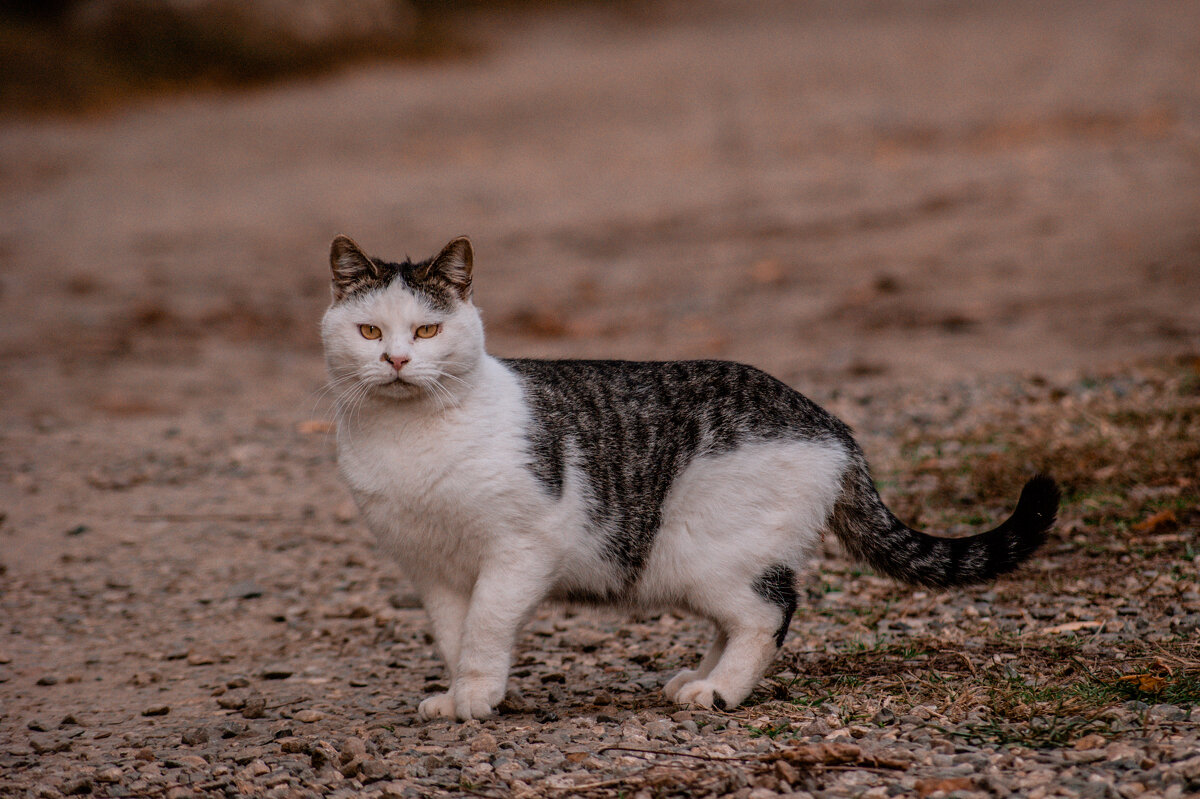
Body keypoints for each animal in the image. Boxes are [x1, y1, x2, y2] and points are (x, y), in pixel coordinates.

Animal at [321, 233, 1060, 719]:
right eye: (367, 331)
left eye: (426, 330)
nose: (394, 360)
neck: (411, 436)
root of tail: (830, 422)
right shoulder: (430, 569)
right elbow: (454, 635)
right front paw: (458, 694)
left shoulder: (519, 550)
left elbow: (484, 628)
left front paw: (478, 694)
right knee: (735, 621)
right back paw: (695, 677)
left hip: (708, 551)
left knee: (767, 613)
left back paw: (720, 690)